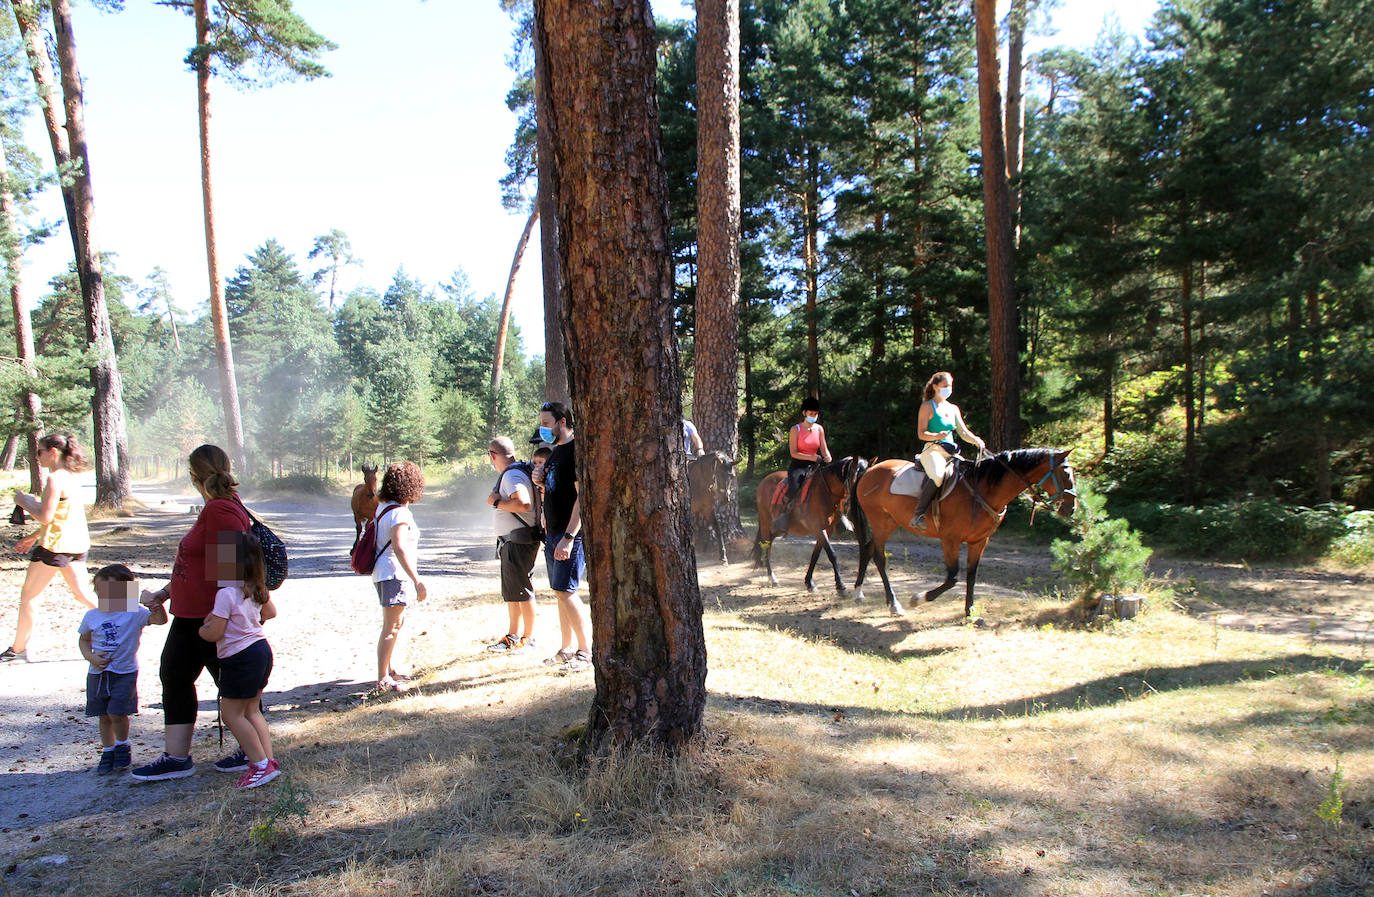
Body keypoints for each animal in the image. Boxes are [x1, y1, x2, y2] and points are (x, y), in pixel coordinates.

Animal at [758, 456, 862, 593]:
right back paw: (773, 579)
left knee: (769, 545)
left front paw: (809, 583)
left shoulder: (827, 530)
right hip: (765, 524)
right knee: (766, 548)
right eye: (856, 475)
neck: (824, 492)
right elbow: (832, 554)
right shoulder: (818, 528)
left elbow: (815, 555)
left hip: (777, 529)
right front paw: (840, 586)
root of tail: (764, 481)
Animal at [846, 447, 1071, 615]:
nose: (1071, 507)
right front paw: (918, 598)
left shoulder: (979, 541)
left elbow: (971, 574)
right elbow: (953, 577)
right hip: (880, 522)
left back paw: (859, 592)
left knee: (868, 549)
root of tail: (870, 471)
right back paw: (894, 604)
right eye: (1066, 474)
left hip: (890, 521)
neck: (982, 491)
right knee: (879, 557)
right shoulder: (950, 540)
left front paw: (970, 611)